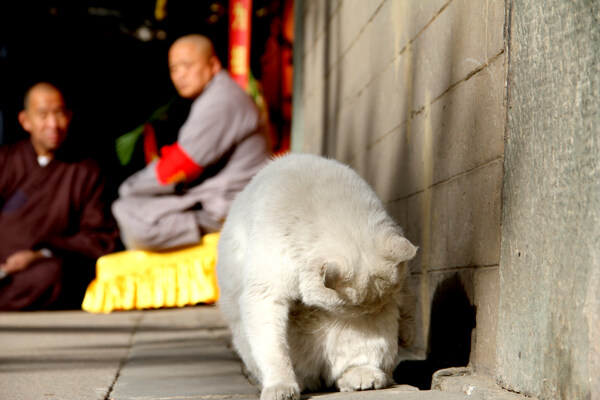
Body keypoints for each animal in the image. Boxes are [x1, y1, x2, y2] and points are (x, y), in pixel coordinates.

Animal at [216, 154, 418, 400]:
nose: (372, 313)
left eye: (374, 306)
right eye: (355, 308)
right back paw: (299, 383)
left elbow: (408, 301)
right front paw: (282, 388)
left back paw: (363, 378)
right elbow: (275, 351)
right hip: (244, 336)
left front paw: (408, 335)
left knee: (357, 367)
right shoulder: (266, 292)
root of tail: (319, 376)